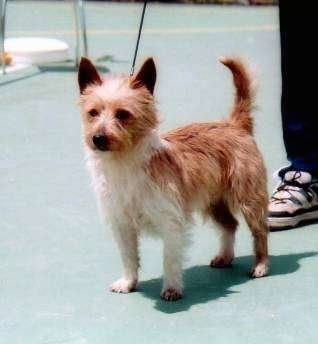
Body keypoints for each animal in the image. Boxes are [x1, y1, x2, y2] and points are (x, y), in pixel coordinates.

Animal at [77, 56, 268, 300]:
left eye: (123, 114)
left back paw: (261, 265)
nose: (98, 138)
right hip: (213, 202)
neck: (124, 161)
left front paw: (171, 289)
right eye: (93, 112)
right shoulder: (122, 225)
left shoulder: (171, 224)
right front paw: (128, 282)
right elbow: (129, 257)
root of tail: (235, 124)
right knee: (229, 225)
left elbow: (169, 259)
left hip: (249, 200)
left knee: (260, 232)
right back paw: (225, 256)